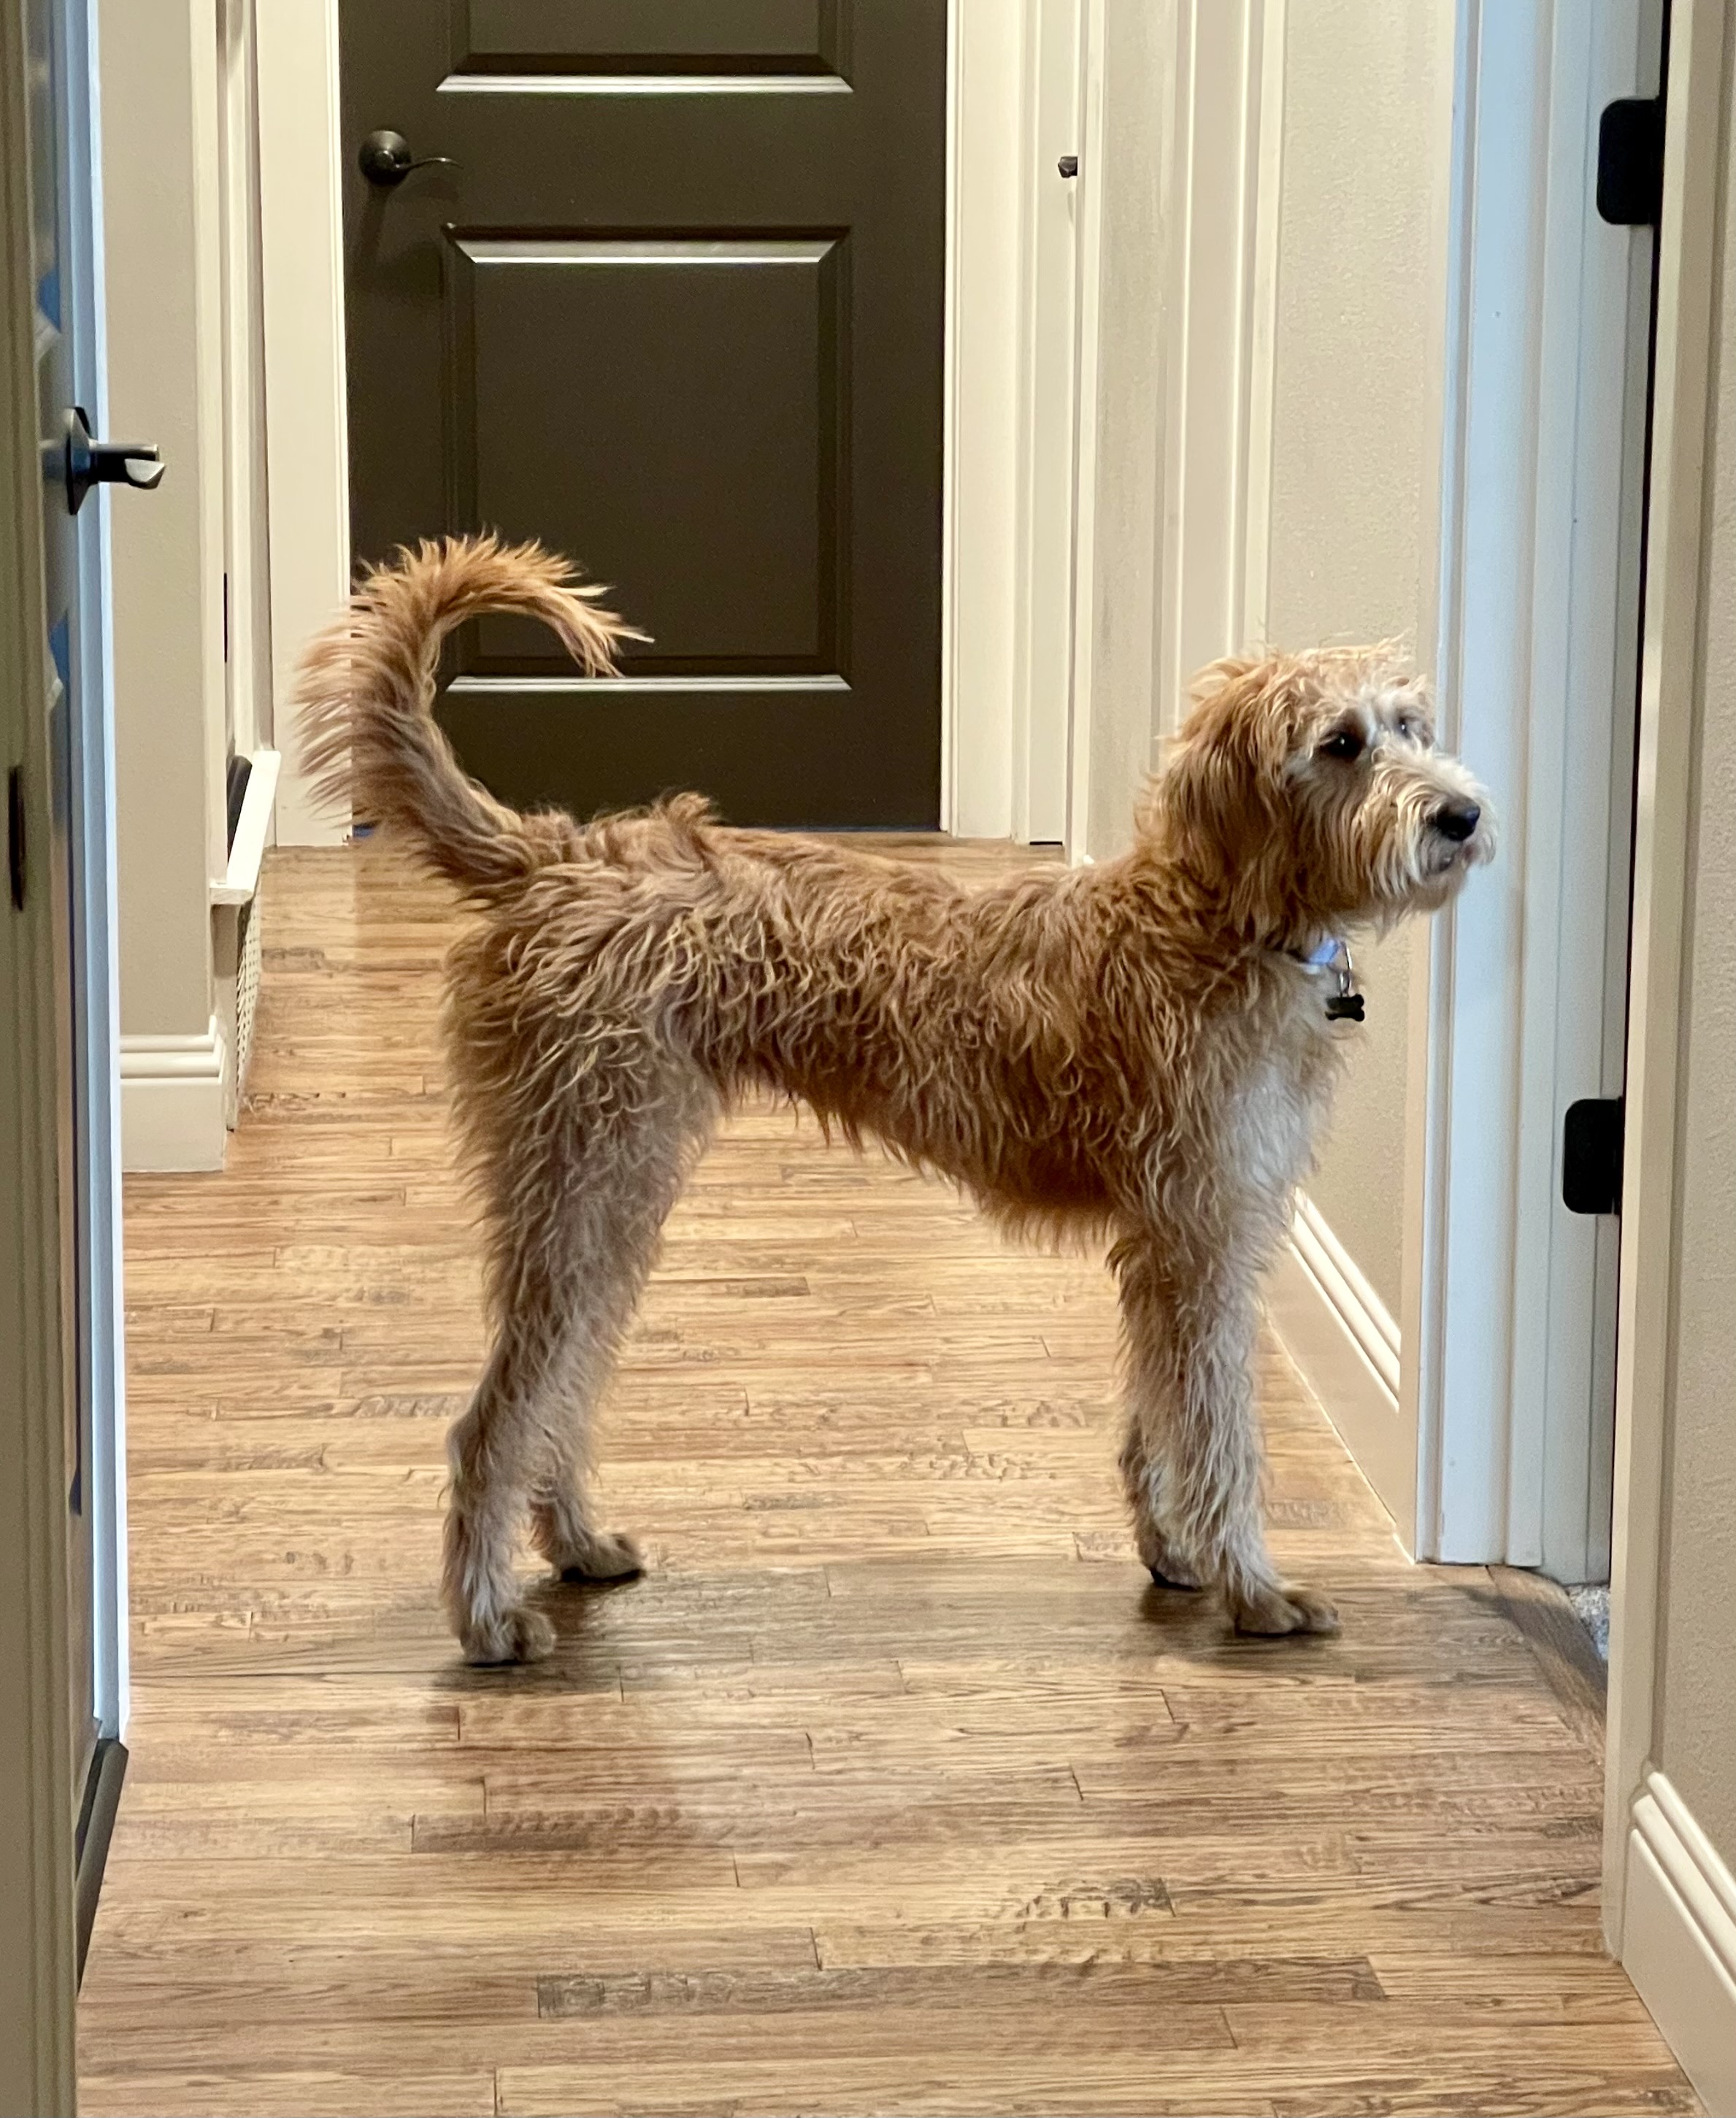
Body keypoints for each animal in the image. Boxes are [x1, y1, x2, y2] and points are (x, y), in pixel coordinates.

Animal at [298, 534, 1494, 1664]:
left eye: (1408, 723)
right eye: (1338, 743)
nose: (1465, 815)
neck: (1208, 922)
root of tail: (557, 856)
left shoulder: (1177, 1244)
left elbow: (1159, 1409)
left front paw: (1174, 1551)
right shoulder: (1202, 1239)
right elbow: (1220, 1432)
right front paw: (1253, 1588)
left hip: (609, 1196)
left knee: (558, 1393)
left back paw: (578, 1546)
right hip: (588, 1182)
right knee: (493, 1420)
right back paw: (487, 1618)